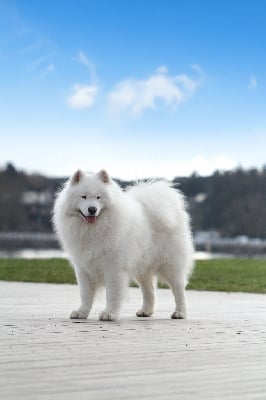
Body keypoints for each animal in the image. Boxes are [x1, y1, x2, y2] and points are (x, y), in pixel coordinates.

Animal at [52, 170, 193, 322]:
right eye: (83, 197)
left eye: (98, 197)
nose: (92, 209)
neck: (93, 230)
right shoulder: (84, 268)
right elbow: (85, 295)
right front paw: (81, 312)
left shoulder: (114, 268)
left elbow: (112, 294)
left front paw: (109, 314)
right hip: (142, 267)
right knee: (149, 290)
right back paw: (145, 311)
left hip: (170, 265)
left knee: (179, 289)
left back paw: (180, 313)